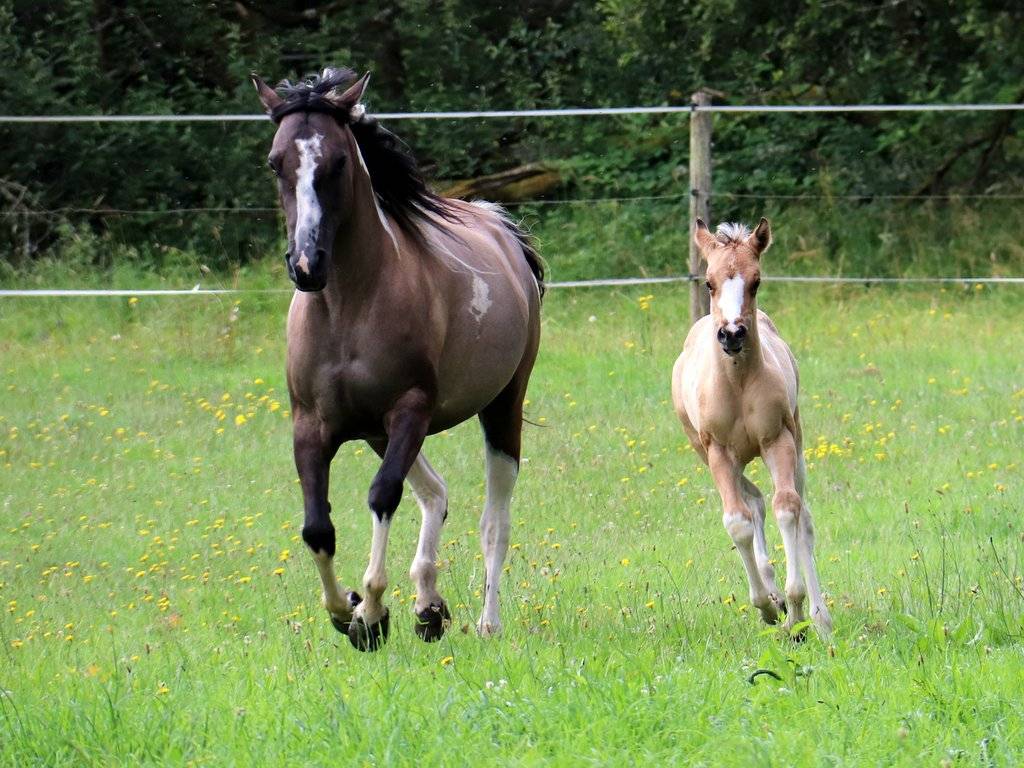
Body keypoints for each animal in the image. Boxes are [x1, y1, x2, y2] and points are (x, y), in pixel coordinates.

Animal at [251, 68, 544, 651]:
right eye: (275, 162)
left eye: (339, 161)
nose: (306, 264)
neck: (348, 308)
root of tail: (503, 230)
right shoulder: (312, 426)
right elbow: (317, 528)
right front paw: (345, 611)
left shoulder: (410, 410)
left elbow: (382, 497)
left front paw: (370, 612)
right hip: (377, 433)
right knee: (437, 495)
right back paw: (429, 608)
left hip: (499, 408)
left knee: (493, 521)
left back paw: (486, 622)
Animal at [671, 218, 832, 636]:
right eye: (708, 282)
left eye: (756, 281)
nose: (731, 334)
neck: (738, 384)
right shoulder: (718, 452)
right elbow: (737, 520)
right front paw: (766, 605)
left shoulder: (778, 440)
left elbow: (788, 510)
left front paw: (795, 610)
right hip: (712, 454)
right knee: (754, 501)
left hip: (796, 445)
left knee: (802, 517)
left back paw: (820, 617)